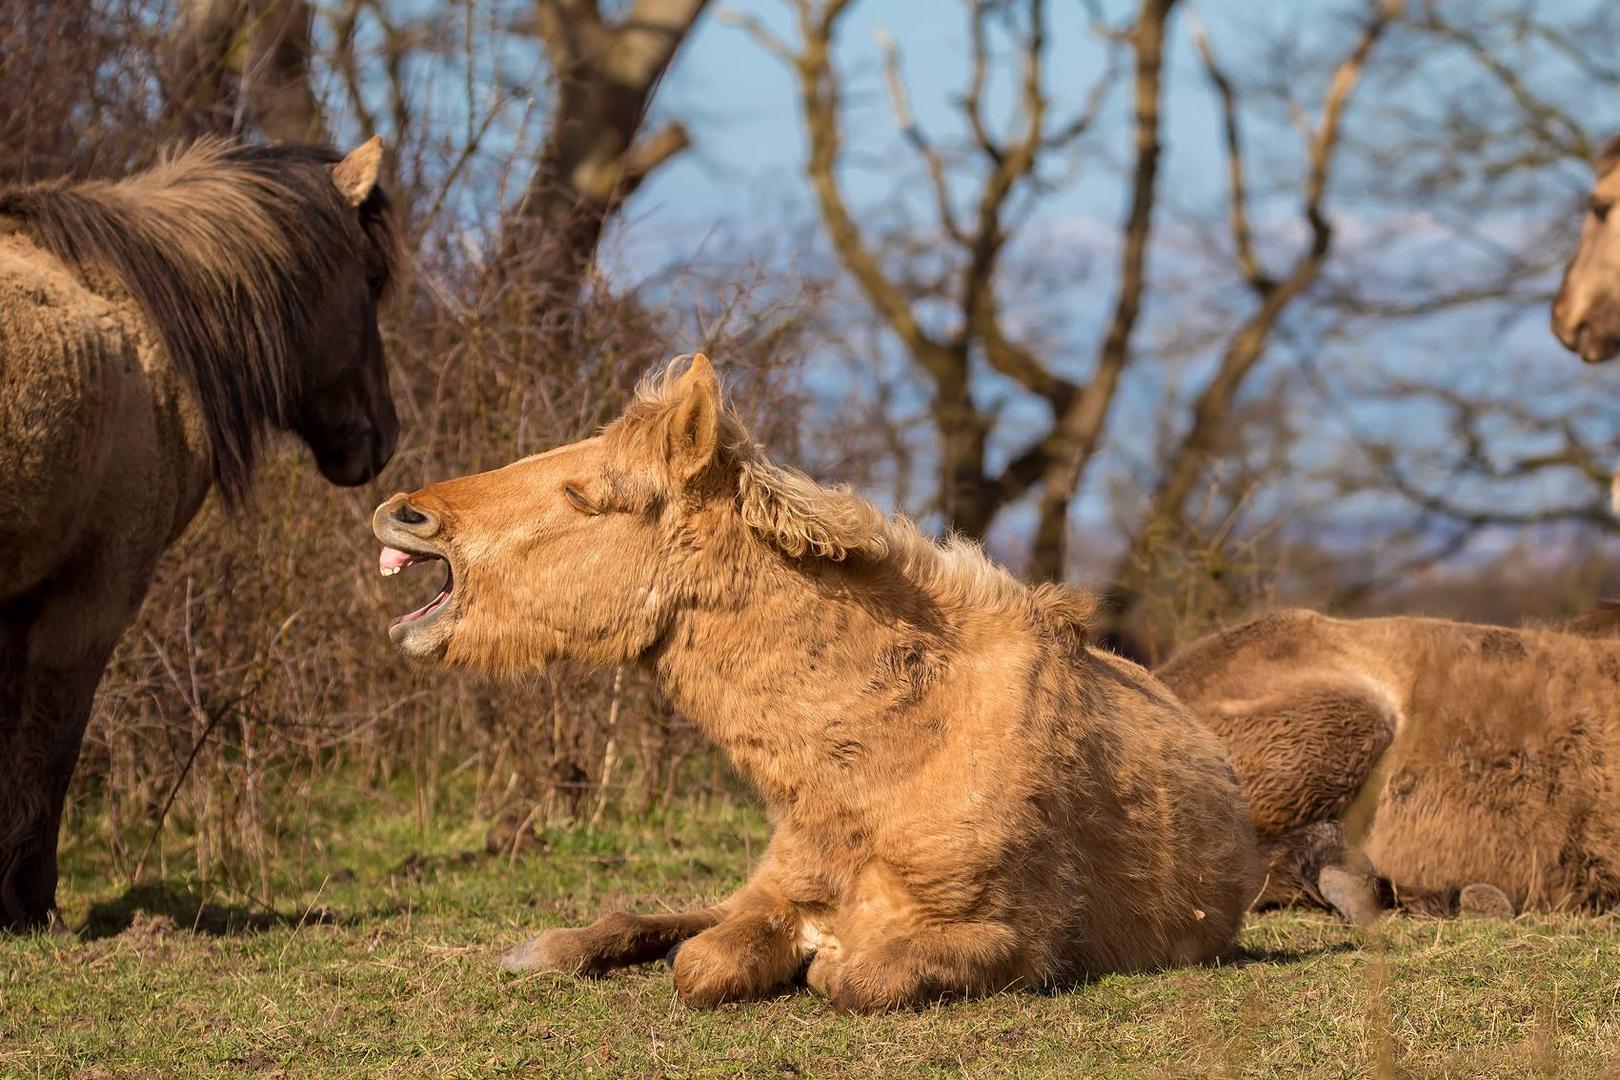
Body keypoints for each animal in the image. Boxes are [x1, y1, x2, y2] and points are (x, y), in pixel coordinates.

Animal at [372, 356, 1257, 1016]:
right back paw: (551, 946)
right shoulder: (775, 897)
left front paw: (824, 964)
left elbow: (854, 976)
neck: (887, 760)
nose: (403, 514)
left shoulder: (1023, 942)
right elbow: (701, 960)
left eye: (586, 494)